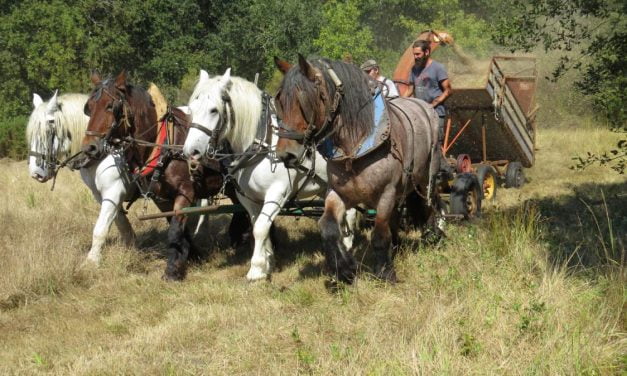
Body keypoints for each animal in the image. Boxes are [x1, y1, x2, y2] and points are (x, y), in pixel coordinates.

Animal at [82, 72, 249, 280]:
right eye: (88, 107)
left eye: (111, 106)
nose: (89, 147)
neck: (162, 145)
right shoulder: (161, 198)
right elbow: (177, 228)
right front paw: (193, 255)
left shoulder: (185, 192)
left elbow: (175, 229)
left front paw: (173, 270)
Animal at [184, 69, 356, 280]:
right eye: (191, 109)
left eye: (214, 110)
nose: (190, 151)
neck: (261, 143)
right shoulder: (248, 198)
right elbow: (258, 225)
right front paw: (268, 261)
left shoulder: (277, 192)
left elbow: (260, 228)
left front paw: (256, 269)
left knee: (351, 213)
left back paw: (347, 245)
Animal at [274, 55, 442, 284]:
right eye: (280, 101)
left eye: (304, 102)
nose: (285, 155)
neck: (354, 149)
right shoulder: (339, 194)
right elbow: (327, 228)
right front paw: (345, 269)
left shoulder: (386, 193)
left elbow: (379, 234)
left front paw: (385, 272)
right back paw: (397, 246)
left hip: (426, 176)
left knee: (431, 201)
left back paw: (434, 234)